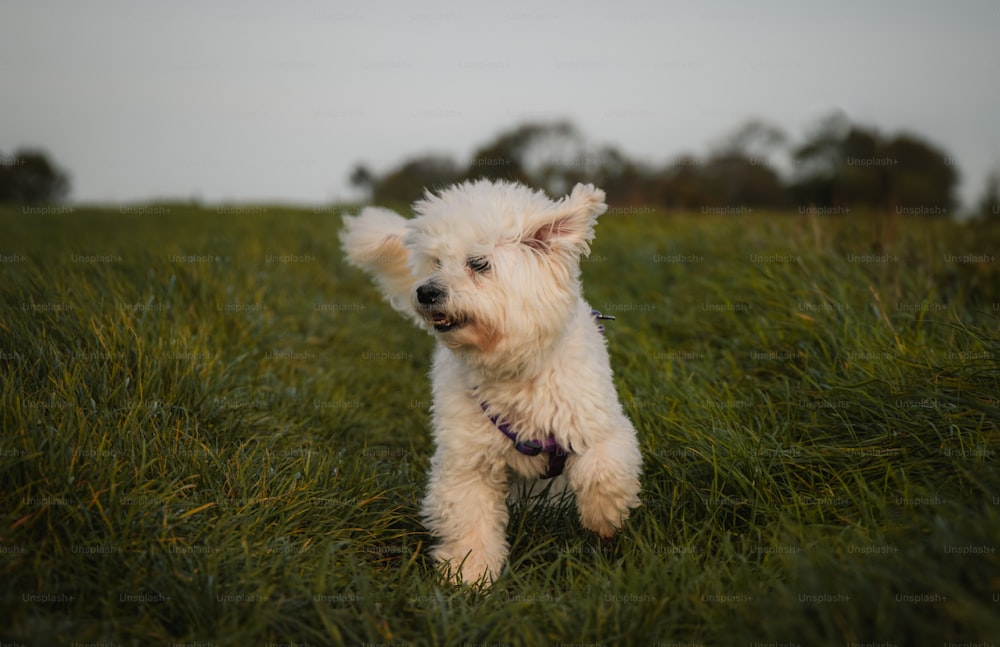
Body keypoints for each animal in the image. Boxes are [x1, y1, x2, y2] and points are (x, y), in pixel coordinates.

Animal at [342, 180, 640, 584]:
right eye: (436, 262)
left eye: (479, 264)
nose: (425, 292)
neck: (513, 369)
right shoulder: (468, 462)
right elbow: (470, 521)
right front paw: (470, 576)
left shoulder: (598, 425)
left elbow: (602, 471)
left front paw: (604, 518)